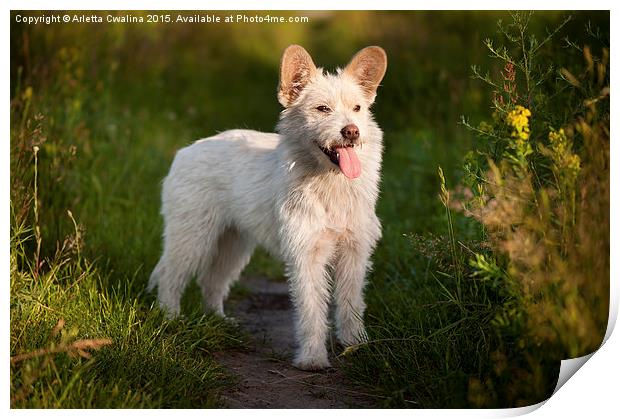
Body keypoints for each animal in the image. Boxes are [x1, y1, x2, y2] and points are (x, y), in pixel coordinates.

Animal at [147, 44, 386, 370]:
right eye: (322, 109)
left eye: (358, 108)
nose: (351, 131)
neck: (328, 184)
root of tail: (186, 150)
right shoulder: (306, 256)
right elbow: (311, 309)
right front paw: (312, 358)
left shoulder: (355, 253)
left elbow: (351, 305)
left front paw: (356, 345)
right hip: (192, 239)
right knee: (171, 278)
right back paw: (171, 319)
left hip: (233, 244)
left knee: (212, 282)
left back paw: (219, 322)